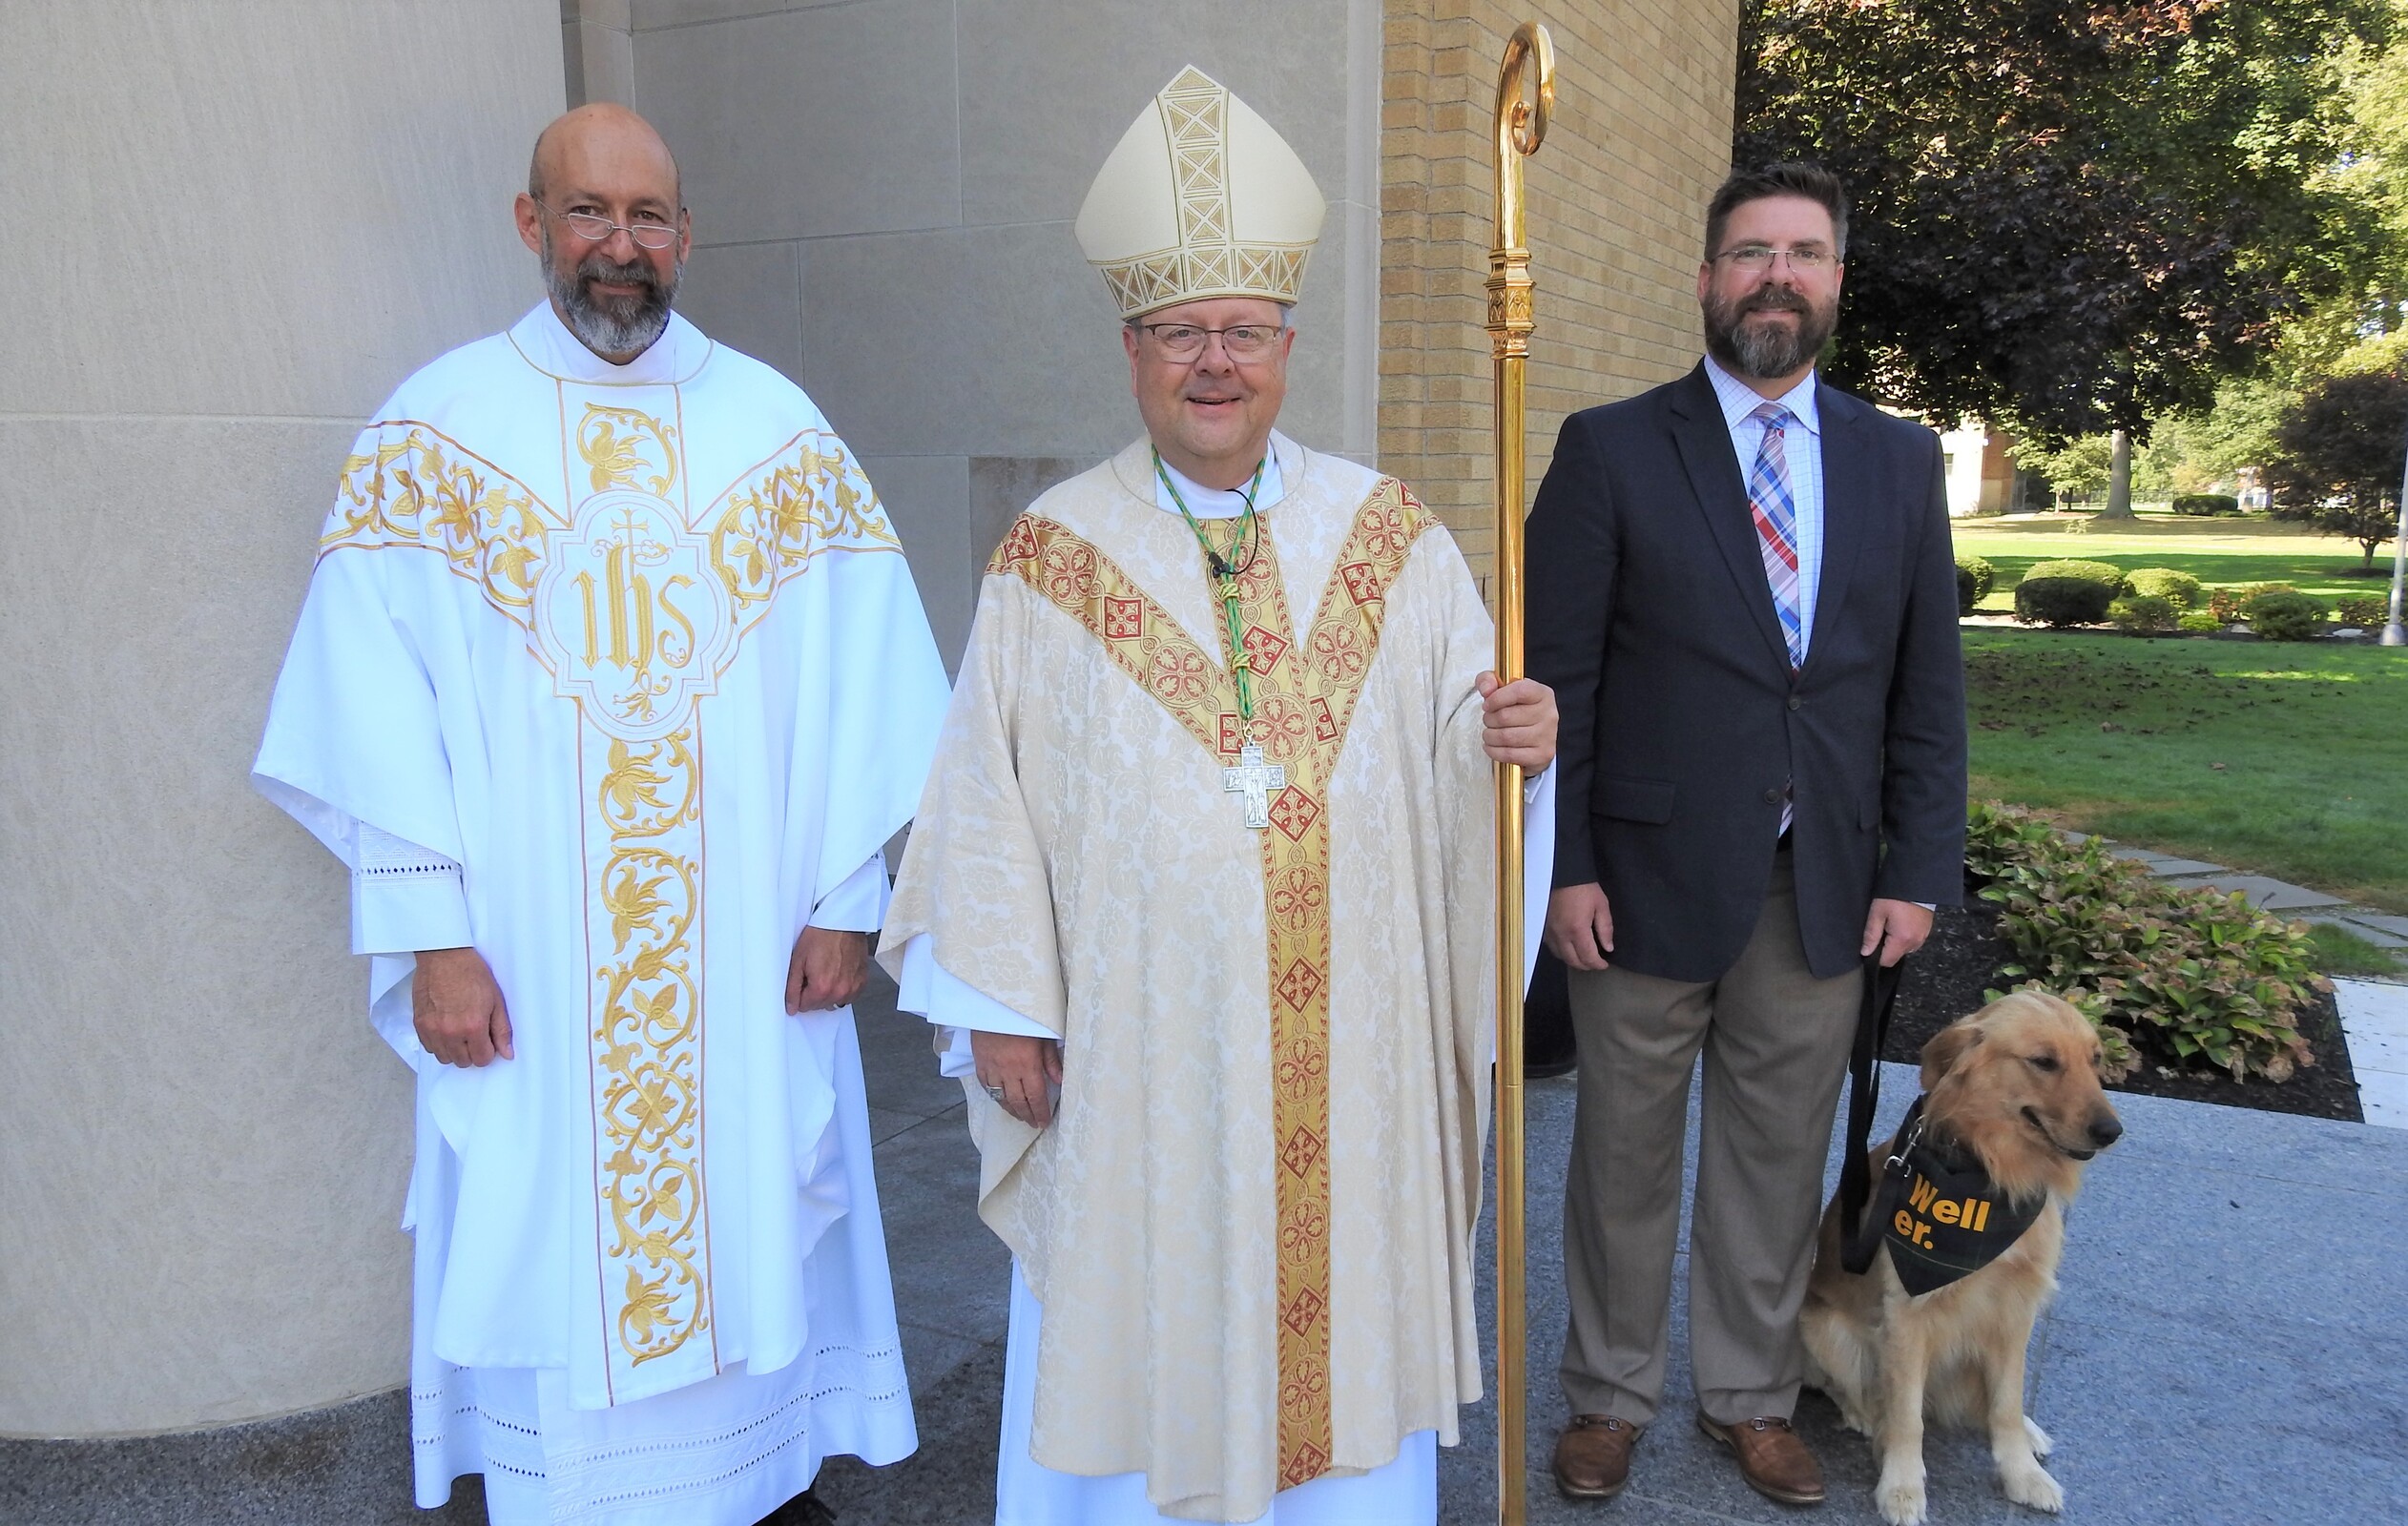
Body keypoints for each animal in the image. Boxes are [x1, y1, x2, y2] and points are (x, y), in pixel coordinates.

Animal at [1801, 990, 2124, 1525]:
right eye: (2044, 1061)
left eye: (2095, 1059)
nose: (2111, 1130)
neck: (1995, 1174)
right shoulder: (1907, 1315)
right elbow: (1907, 1417)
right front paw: (1901, 1486)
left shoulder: (2016, 1310)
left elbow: (2006, 1404)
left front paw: (2022, 1473)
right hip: (1822, 1327)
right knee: (1847, 1386)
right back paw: (1864, 1414)